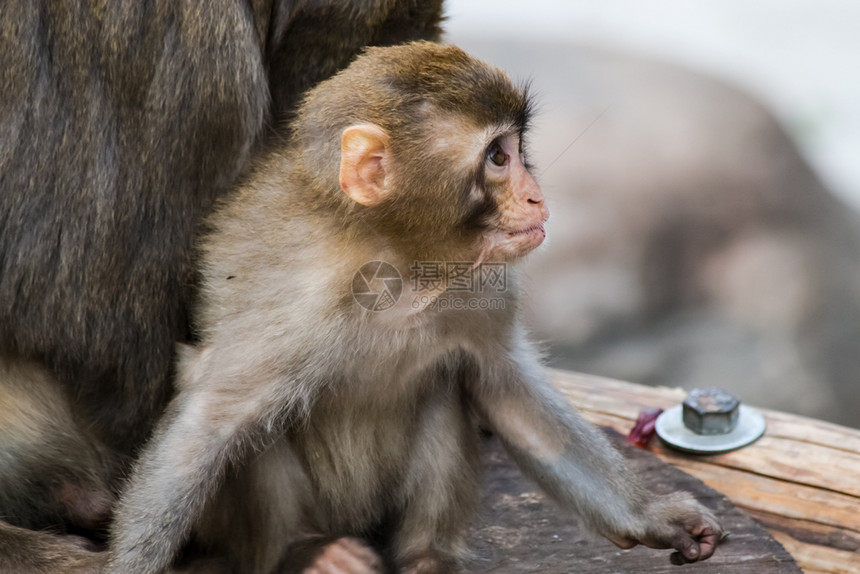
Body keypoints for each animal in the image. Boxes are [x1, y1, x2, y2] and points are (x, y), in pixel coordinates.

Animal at [109, 42, 724, 572]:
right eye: (497, 157)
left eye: (516, 150)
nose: (536, 197)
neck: (398, 266)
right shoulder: (291, 306)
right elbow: (209, 419)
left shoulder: (485, 287)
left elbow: (506, 391)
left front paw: (650, 518)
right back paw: (305, 550)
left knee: (447, 382)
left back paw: (427, 555)